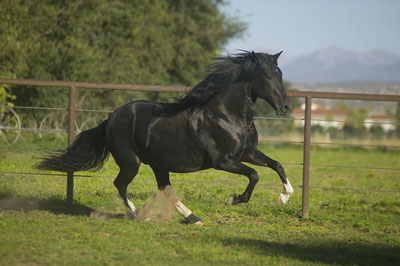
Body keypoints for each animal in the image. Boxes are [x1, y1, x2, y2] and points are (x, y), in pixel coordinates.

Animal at [37, 50, 294, 224]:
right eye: (267, 76)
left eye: (280, 74)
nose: (285, 107)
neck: (227, 115)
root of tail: (110, 118)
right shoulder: (223, 161)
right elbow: (255, 175)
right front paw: (233, 199)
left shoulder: (248, 153)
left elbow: (277, 165)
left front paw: (284, 197)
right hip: (132, 162)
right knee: (121, 184)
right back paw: (137, 214)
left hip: (158, 163)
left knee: (164, 188)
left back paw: (193, 218)